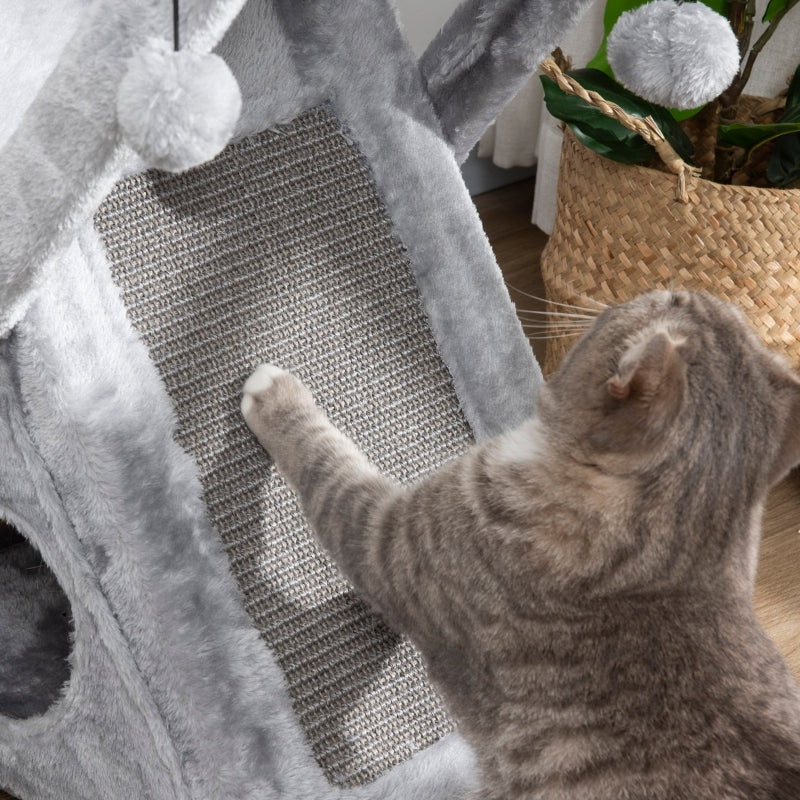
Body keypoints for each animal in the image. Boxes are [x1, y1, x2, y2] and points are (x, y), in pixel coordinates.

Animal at [242, 292, 800, 800]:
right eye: (680, 294)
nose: (671, 288)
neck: (663, 568)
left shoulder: (388, 541)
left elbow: (328, 464)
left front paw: (272, 394)